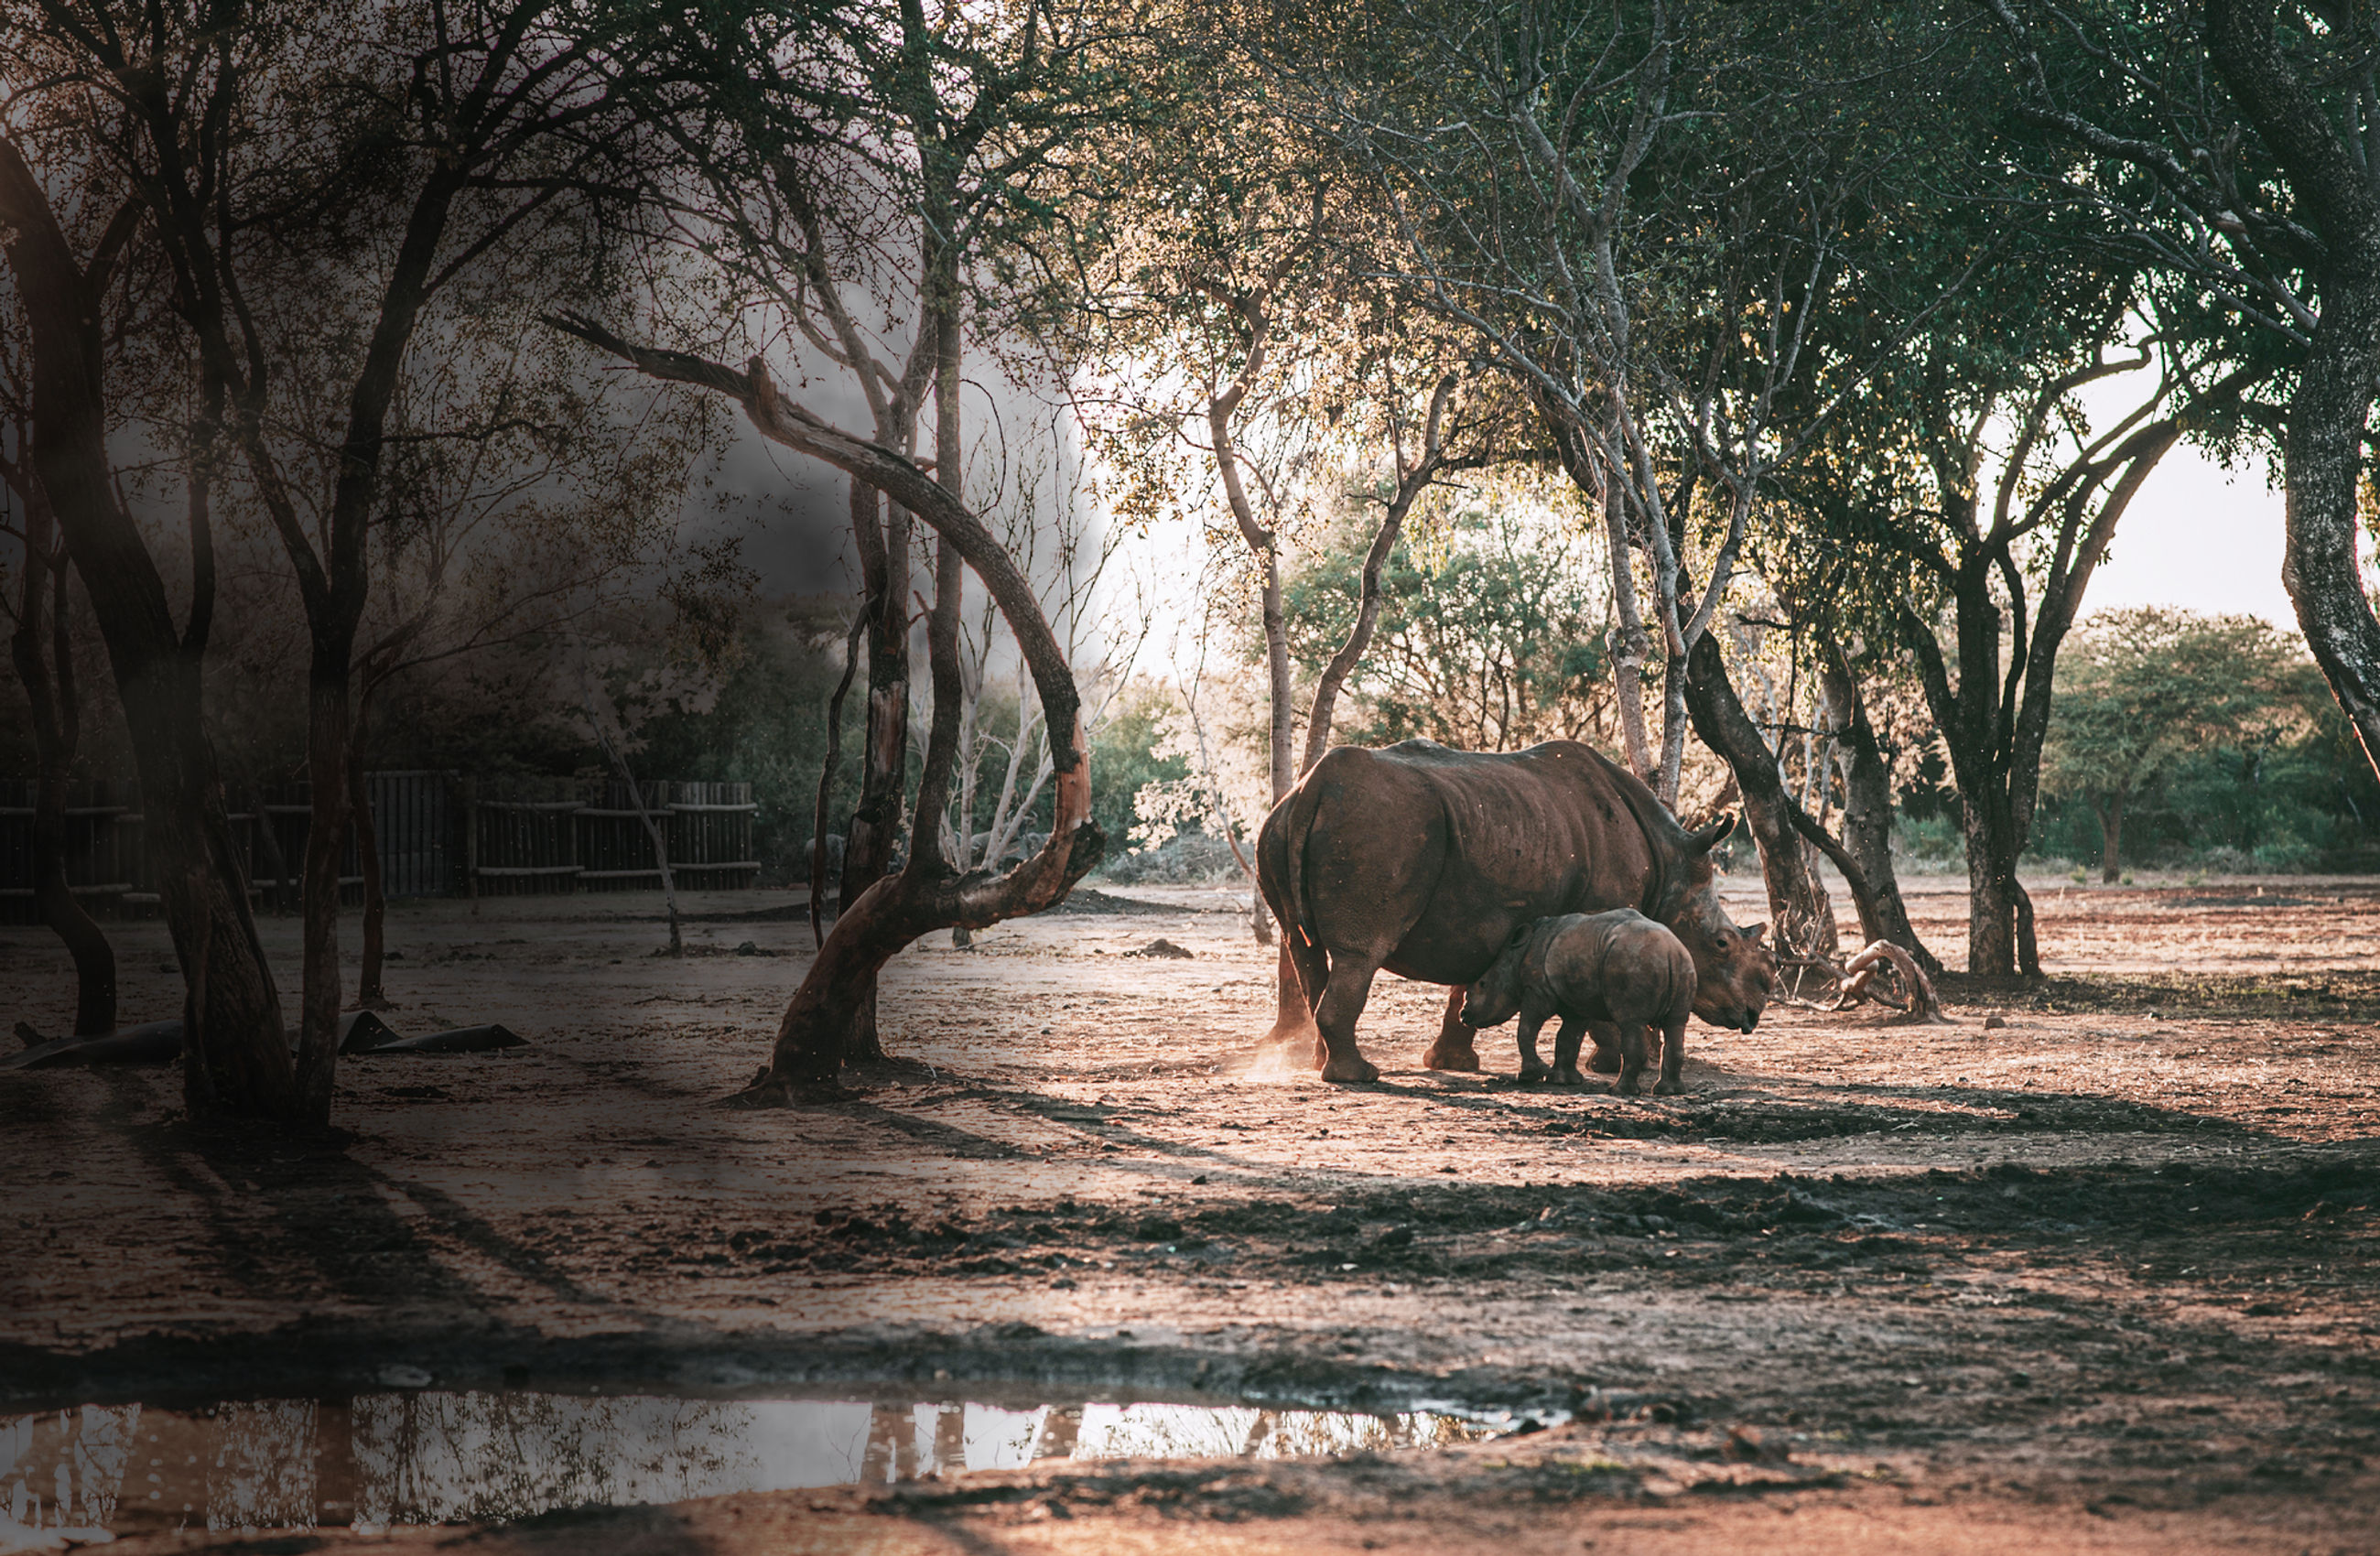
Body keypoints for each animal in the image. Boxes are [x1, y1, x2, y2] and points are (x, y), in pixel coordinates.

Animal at [1255, 739, 1774, 1083]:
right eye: (1721, 943)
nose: (1752, 1012)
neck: (1672, 864)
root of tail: (1313, 787)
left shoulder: (1476, 912)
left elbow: (1467, 985)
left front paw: (1452, 1063)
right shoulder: (1599, 913)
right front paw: (1613, 1064)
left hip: (1280, 826)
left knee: (1303, 946)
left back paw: (1324, 1064)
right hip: (1381, 826)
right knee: (1360, 954)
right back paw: (1358, 1075)